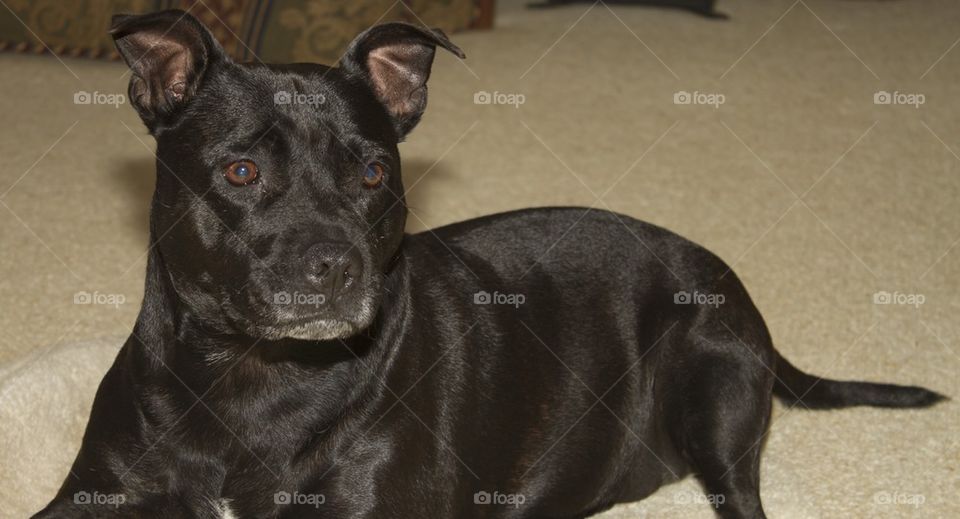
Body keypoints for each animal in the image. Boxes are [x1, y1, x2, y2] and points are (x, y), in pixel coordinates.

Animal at [35, 9, 944, 519]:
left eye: (374, 174)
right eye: (241, 171)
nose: (337, 266)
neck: (251, 375)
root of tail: (728, 279)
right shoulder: (93, 492)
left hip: (715, 390)